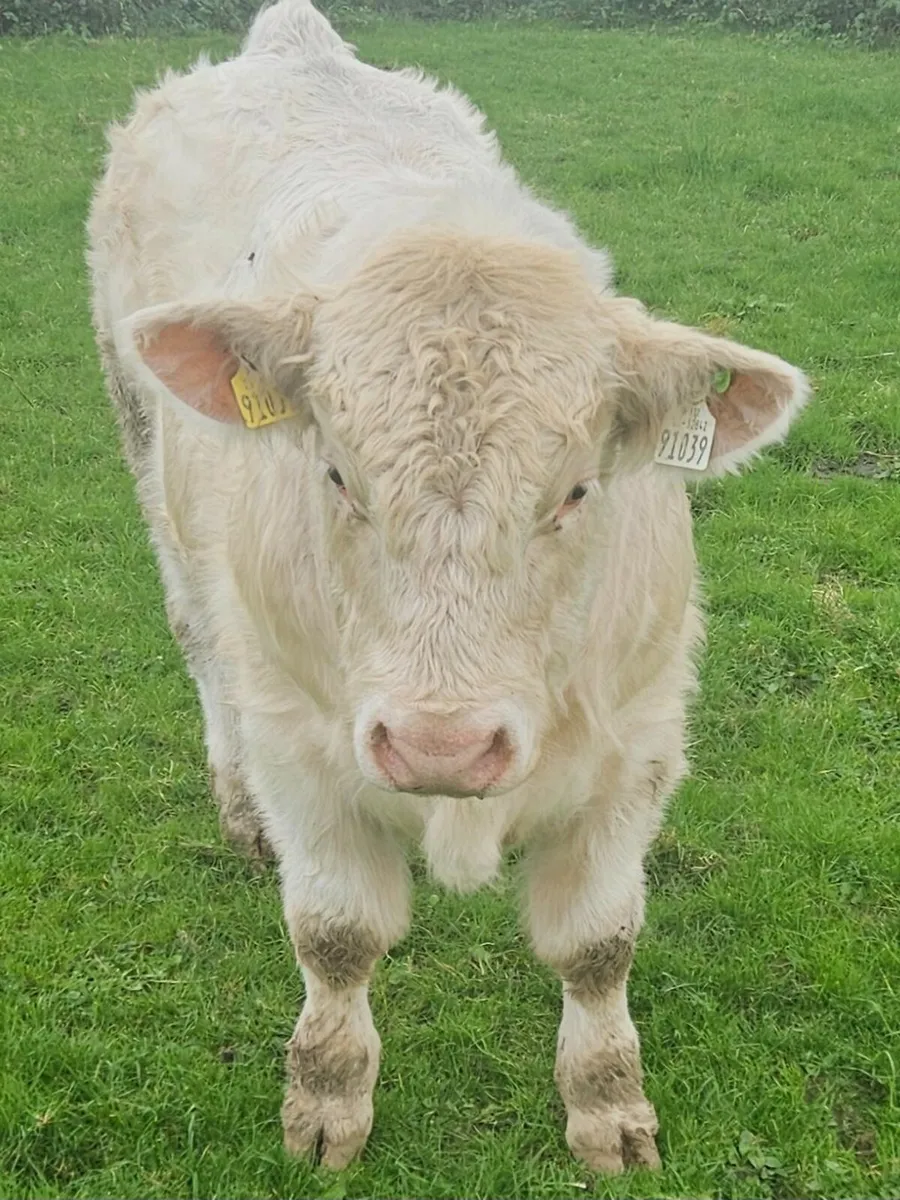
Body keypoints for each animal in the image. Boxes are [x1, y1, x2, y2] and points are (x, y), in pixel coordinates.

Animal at [87, 0, 809, 1173]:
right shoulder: (302, 745)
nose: (441, 746)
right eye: (338, 474)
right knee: (195, 636)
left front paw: (609, 1109)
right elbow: (336, 935)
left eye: (575, 491)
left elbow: (598, 946)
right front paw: (326, 1104)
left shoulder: (639, 743)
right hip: (145, 444)